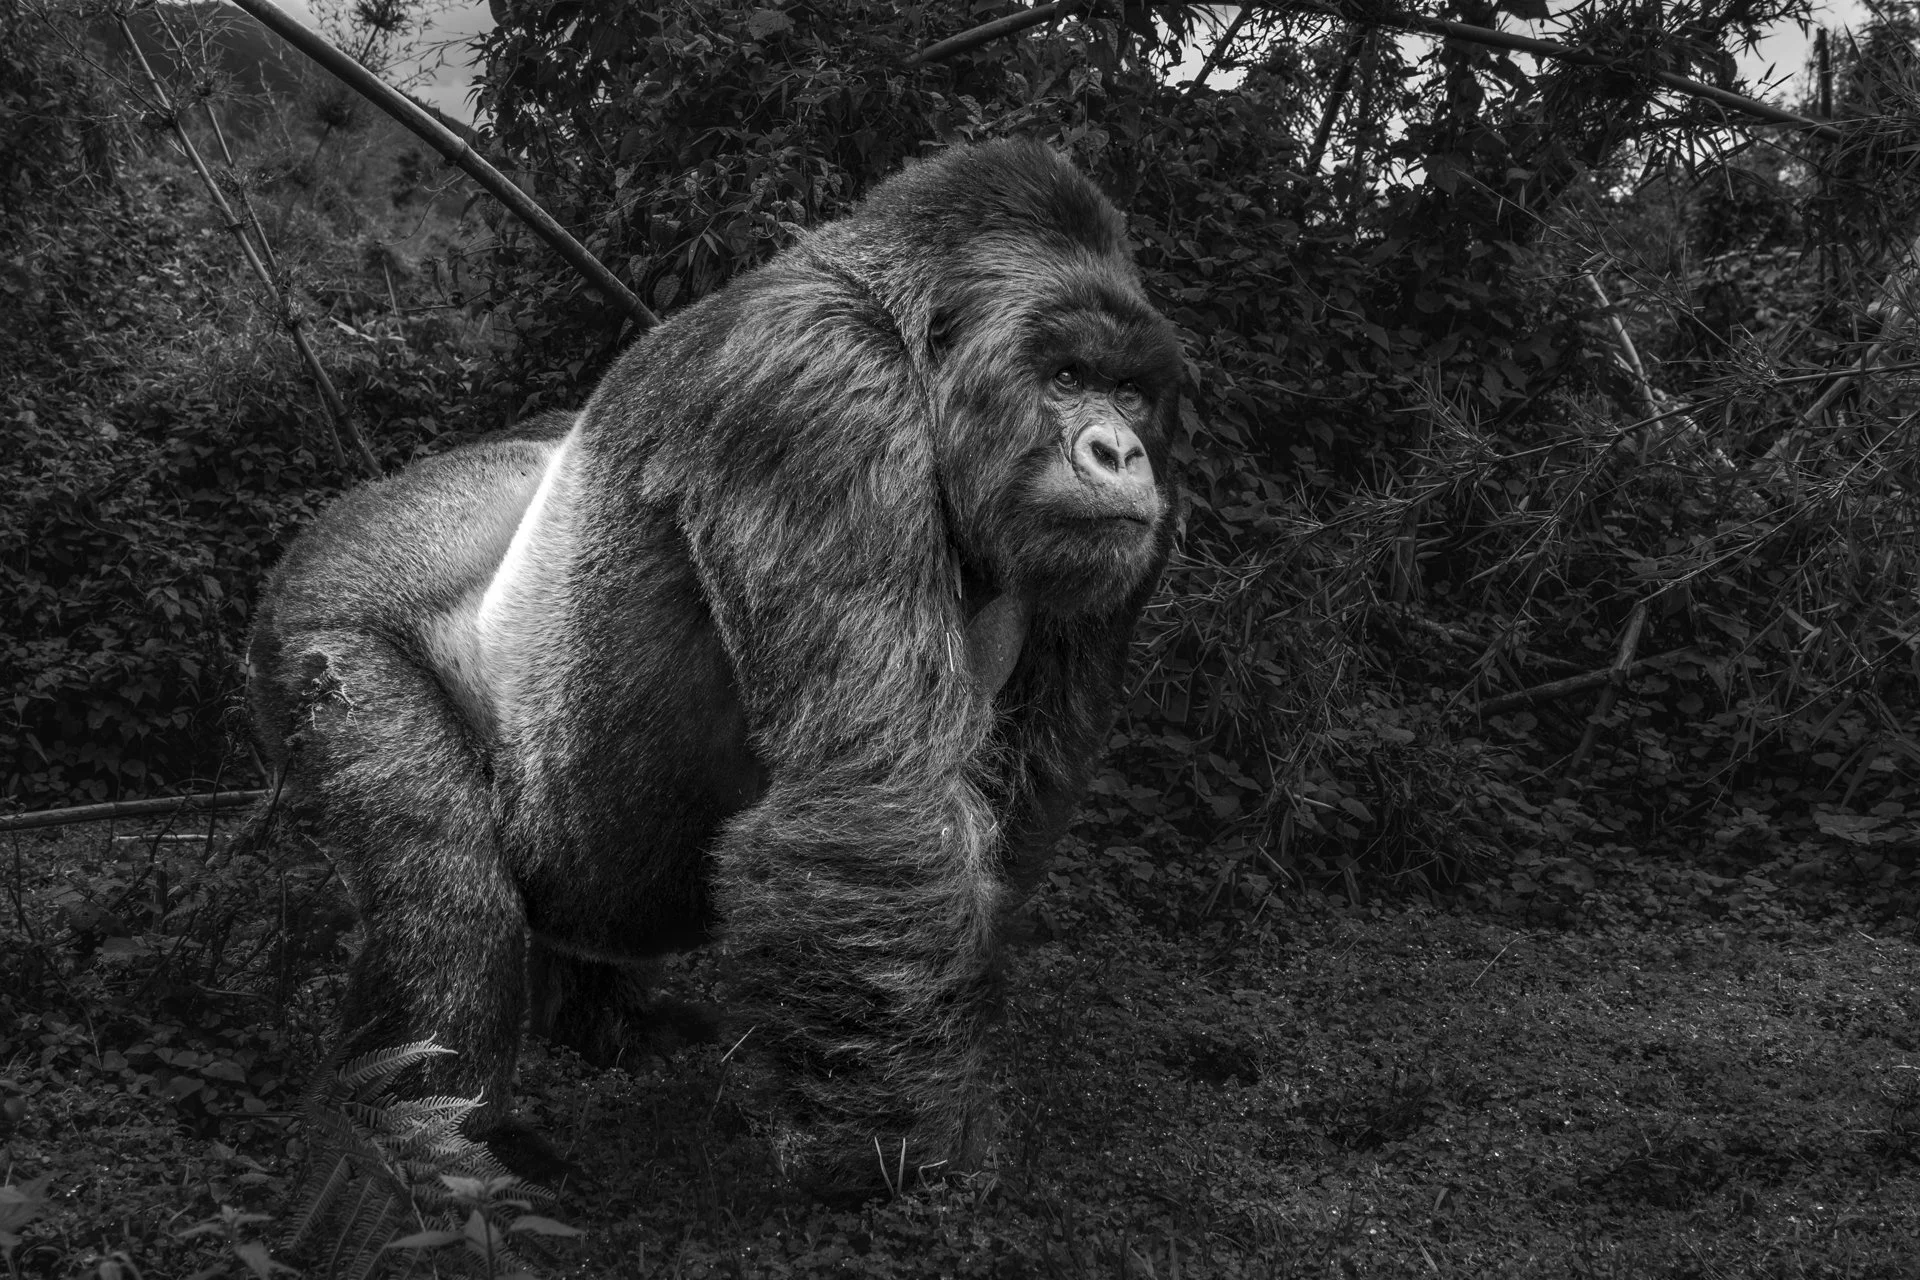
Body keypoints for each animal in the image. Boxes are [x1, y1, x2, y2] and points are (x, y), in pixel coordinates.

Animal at [247, 138, 1182, 1197]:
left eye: (1132, 392)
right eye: (1065, 376)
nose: (1120, 451)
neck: (908, 336)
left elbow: (1001, 815)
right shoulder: (817, 392)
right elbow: (875, 802)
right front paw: (899, 1161)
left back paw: (606, 1024)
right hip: (327, 612)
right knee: (449, 905)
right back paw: (415, 1146)